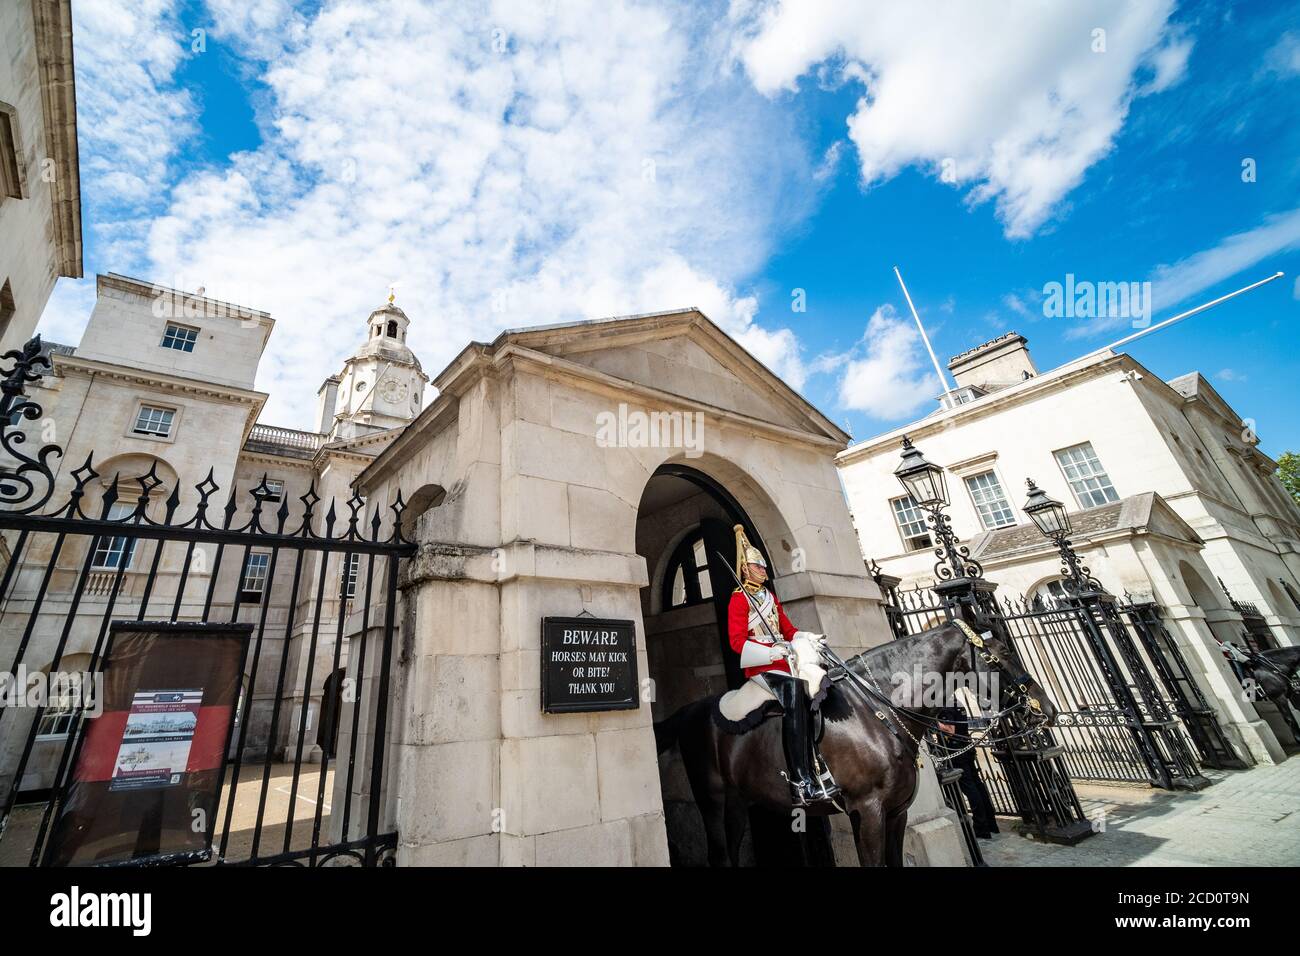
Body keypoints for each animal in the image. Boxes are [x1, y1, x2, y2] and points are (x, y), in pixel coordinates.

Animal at [655, 621, 1060, 868]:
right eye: (1001, 654)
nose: (1048, 709)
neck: (878, 708)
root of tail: (693, 708)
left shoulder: (896, 813)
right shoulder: (868, 811)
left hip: (738, 800)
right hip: (711, 799)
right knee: (719, 853)